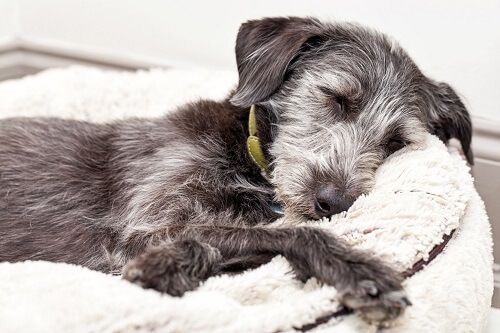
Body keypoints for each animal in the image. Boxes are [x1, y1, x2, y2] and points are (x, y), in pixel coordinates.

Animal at [0, 16, 470, 324]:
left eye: (395, 143)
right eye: (337, 98)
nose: (333, 201)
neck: (250, 164)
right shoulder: (141, 226)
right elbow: (293, 233)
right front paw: (358, 268)